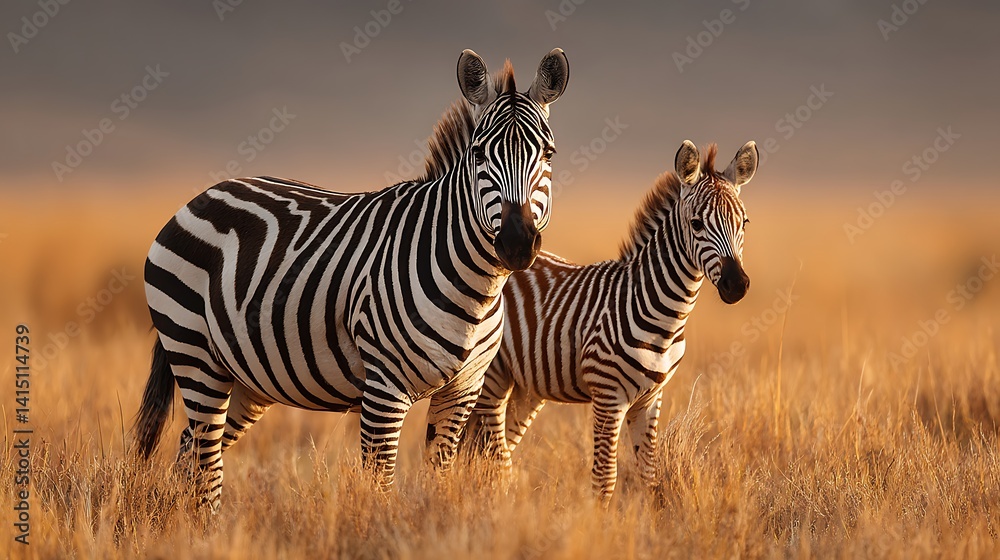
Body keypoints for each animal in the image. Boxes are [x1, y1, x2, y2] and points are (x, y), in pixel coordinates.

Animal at [133, 48, 570, 510]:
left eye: (549, 155)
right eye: (480, 155)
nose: (516, 243)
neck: (477, 287)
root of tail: (201, 196)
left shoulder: (462, 392)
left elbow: (438, 476)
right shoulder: (384, 389)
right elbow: (380, 483)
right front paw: (377, 523)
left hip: (245, 377)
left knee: (189, 448)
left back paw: (186, 520)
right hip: (194, 351)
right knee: (205, 457)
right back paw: (206, 523)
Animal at [451, 140, 758, 501]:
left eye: (744, 222)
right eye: (696, 224)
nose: (737, 284)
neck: (664, 318)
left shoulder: (650, 400)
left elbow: (649, 477)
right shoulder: (608, 396)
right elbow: (604, 477)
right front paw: (599, 517)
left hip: (525, 388)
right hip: (492, 379)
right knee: (490, 454)